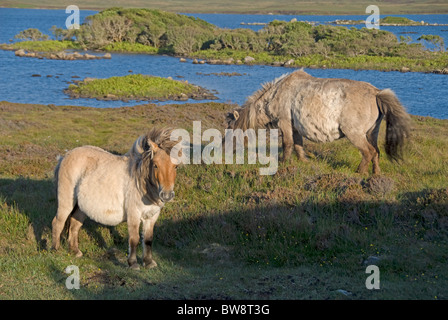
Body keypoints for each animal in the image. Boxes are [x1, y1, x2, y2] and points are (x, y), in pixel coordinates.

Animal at [52, 128, 178, 270]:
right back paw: (55, 250)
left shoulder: (152, 216)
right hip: (66, 201)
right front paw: (133, 263)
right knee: (58, 222)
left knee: (74, 224)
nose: (166, 195)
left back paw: (75, 251)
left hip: (81, 207)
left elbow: (148, 239)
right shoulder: (134, 214)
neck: (142, 183)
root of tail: (64, 157)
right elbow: (134, 239)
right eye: (155, 165)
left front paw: (149, 262)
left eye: (176, 166)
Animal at [226, 69, 412, 175]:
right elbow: (298, 145)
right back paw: (376, 174)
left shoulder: (284, 122)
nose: (226, 152)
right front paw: (304, 161)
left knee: (368, 152)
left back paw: (360, 172)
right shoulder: (295, 127)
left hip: (355, 134)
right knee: (376, 152)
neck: (275, 93)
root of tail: (376, 93)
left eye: (231, 129)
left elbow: (287, 144)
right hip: (371, 132)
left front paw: (284, 163)